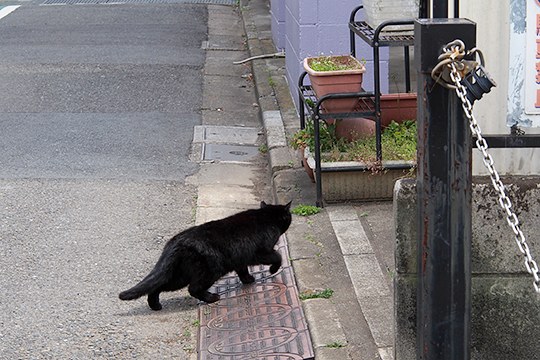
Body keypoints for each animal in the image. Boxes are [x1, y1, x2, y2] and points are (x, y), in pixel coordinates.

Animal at [118, 201, 292, 310]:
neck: (266, 217)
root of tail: (176, 241)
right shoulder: (260, 253)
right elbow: (277, 256)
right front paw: (272, 270)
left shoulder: (240, 259)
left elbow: (242, 270)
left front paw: (248, 280)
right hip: (210, 271)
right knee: (193, 289)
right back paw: (212, 298)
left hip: (179, 275)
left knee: (158, 286)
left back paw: (155, 306)